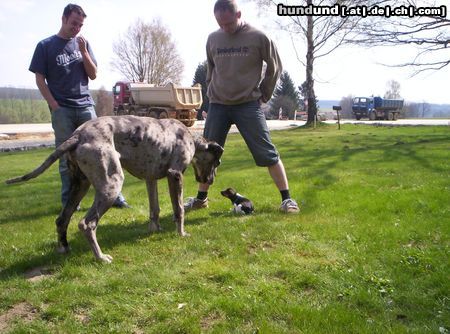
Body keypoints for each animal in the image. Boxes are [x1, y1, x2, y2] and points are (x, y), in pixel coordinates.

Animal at [6, 116, 224, 262]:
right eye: (218, 162)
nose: (211, 181)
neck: (188, 136)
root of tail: (78, 135)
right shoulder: (175, 175)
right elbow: (178, 209)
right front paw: (181, 233)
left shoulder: (150, 179)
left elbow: (155, 209)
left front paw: (155, 229)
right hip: (111, 185)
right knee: (86, 224)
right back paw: (101, 257)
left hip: (80, 185)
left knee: (62, 219)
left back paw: (64, 248)